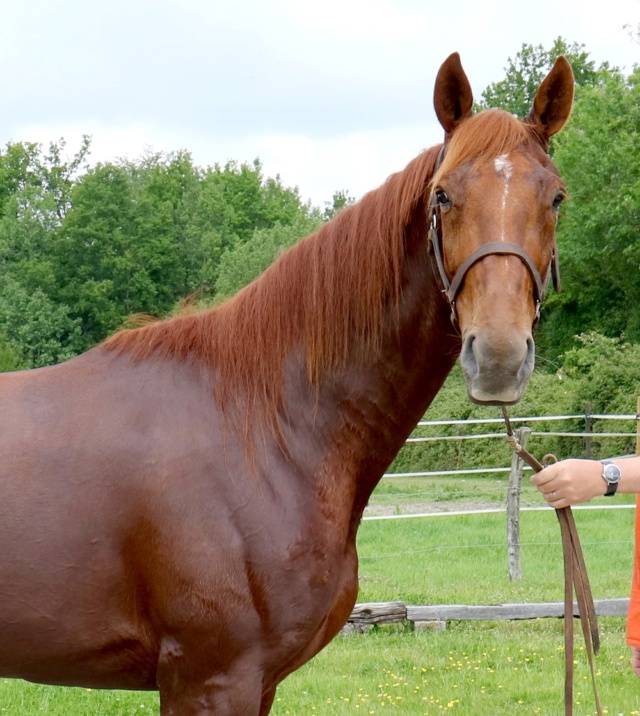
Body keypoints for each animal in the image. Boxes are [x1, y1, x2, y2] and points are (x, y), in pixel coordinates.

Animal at [0, 54, 572, 716]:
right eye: (443, 195)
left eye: (557, 197)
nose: (499, 356)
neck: (263, 425)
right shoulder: (212, 680)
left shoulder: (258, 682)